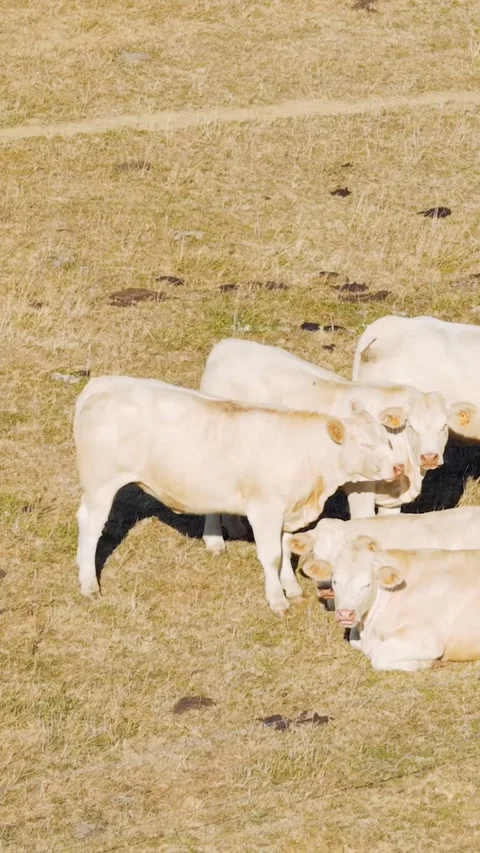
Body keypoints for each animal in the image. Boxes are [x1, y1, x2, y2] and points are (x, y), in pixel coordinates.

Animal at [74, 375, 403, 615]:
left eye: (387, 439)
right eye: (366, 444)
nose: (398, 466)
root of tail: (100, 384)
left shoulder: (288, 512)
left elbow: (285, 550)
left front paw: (292, 589)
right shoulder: (265, 509)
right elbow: (271, 556)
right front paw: (277, 601)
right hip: (101, 483)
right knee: (91, 525)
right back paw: (89, 584)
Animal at [199, 338, 471, 546]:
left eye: (444, 426)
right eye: (412, 426)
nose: (429, 456)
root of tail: (226, 347)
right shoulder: (360, 486)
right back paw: (214, 542)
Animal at [302, 535, 480, 671]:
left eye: (367, 584)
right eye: (335, 581)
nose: (345, 613)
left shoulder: (426, 639)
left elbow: (378, 657)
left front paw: (424, 663)